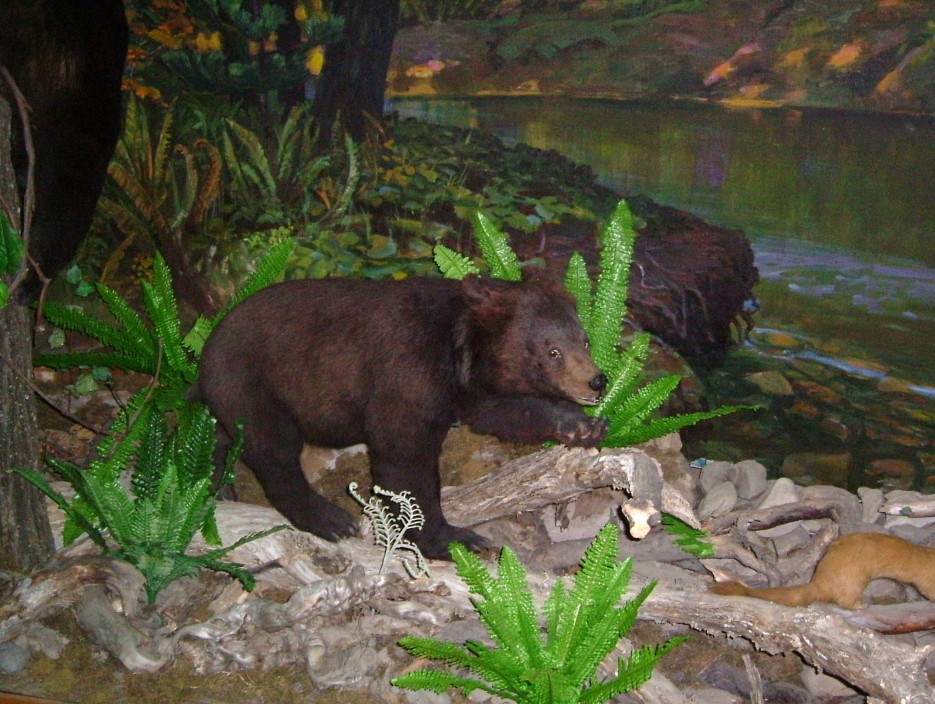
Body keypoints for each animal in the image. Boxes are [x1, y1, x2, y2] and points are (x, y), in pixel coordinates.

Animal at [196, 275, 609, 559]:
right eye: (553, 352)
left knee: (222, 438)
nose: (597, 381)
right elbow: (403, 457)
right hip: (252, 383)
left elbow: (500, 411)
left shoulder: (464, 390)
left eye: (585, 339)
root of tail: (208, 349)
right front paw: (456, 538)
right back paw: (330, 518)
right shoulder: (407, 369)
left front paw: (582, 426)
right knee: (273, 451)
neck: (457, 349)